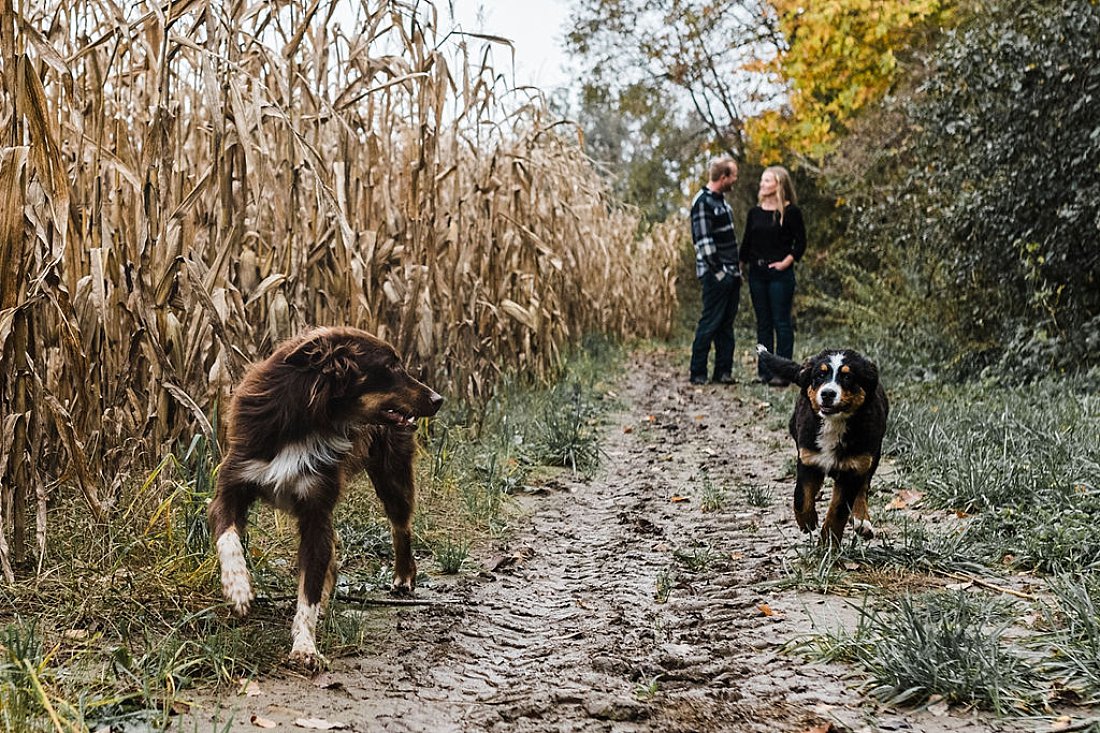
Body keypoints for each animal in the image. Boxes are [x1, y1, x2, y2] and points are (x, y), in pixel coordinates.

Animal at [207, 323, 440, 660]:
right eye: (391, 366)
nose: (439, 399)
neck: (310, 419)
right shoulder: (232, 486)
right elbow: (228, 538)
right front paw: (238, 587)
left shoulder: (316, 511)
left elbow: (310, 590)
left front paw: (305, 646)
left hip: (392, 475)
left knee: (401, 526)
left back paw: (403, 575)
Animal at [752, 345, 888, 545]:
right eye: (820, 375)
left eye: (848, 377)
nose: (828, 393)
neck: (834, 424)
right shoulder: (809, 459)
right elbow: (801, 497)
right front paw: (807, 521)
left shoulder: (853, 468)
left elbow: (838, 512)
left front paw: (828, 544)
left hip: (872, 454)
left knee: (863, 486)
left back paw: (862, 521)